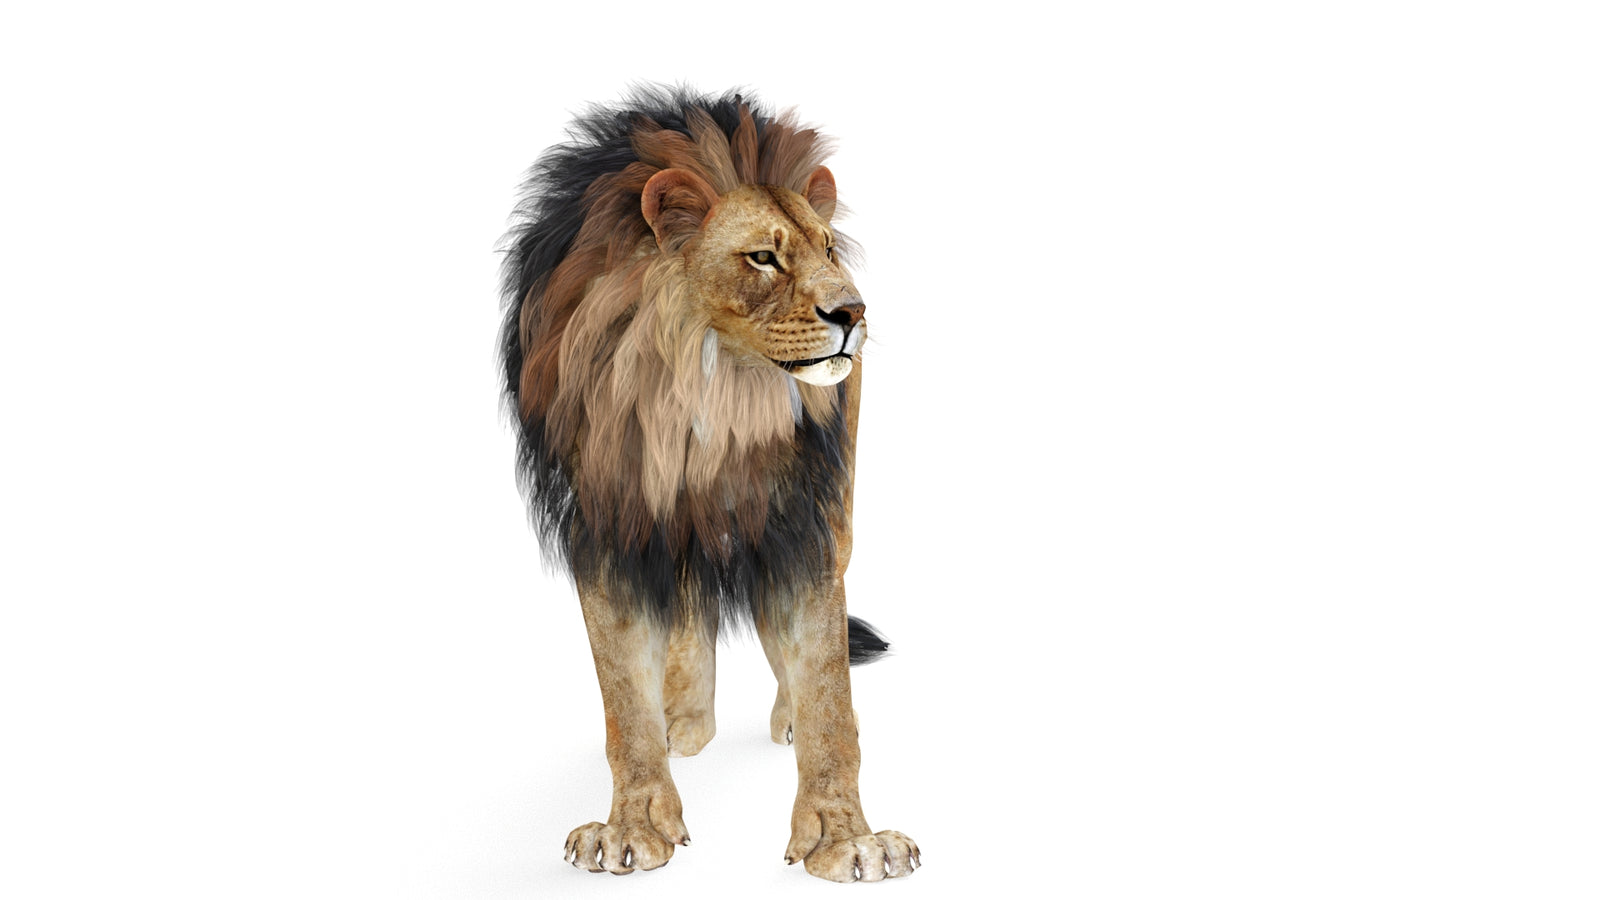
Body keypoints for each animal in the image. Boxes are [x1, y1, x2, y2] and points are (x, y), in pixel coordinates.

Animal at [499, 87, 918, 883]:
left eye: (826, 249)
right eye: (762, 256)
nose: (854, 313)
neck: (708, 395)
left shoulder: (800, 521)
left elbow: (828, 691)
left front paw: (846, 838)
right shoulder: (609, 526)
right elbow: (623, 699)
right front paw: (631, 824)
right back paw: (685, 725)